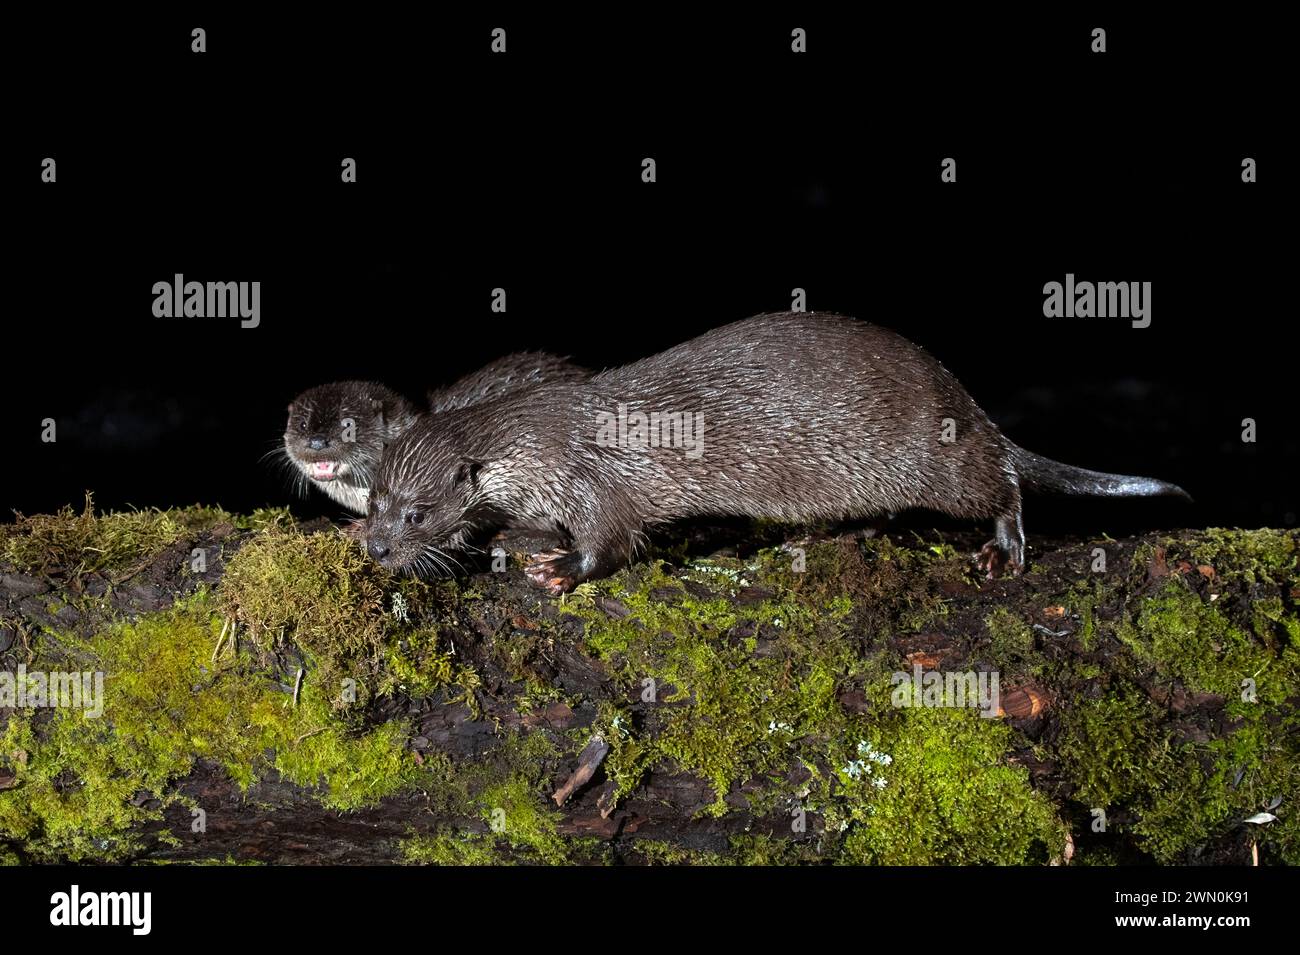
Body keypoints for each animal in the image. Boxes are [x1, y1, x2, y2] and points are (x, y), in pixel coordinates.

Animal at [361, 314, 1190, 595]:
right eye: (372, 502)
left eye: (417, 513)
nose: (373, 549)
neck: (534, 440)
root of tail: (961, 394)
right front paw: (512, 537)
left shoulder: (591, 476)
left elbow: (614, 541)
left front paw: (562, 567)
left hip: (939, 453)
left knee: (1002, 479)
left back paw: (1004, 546)